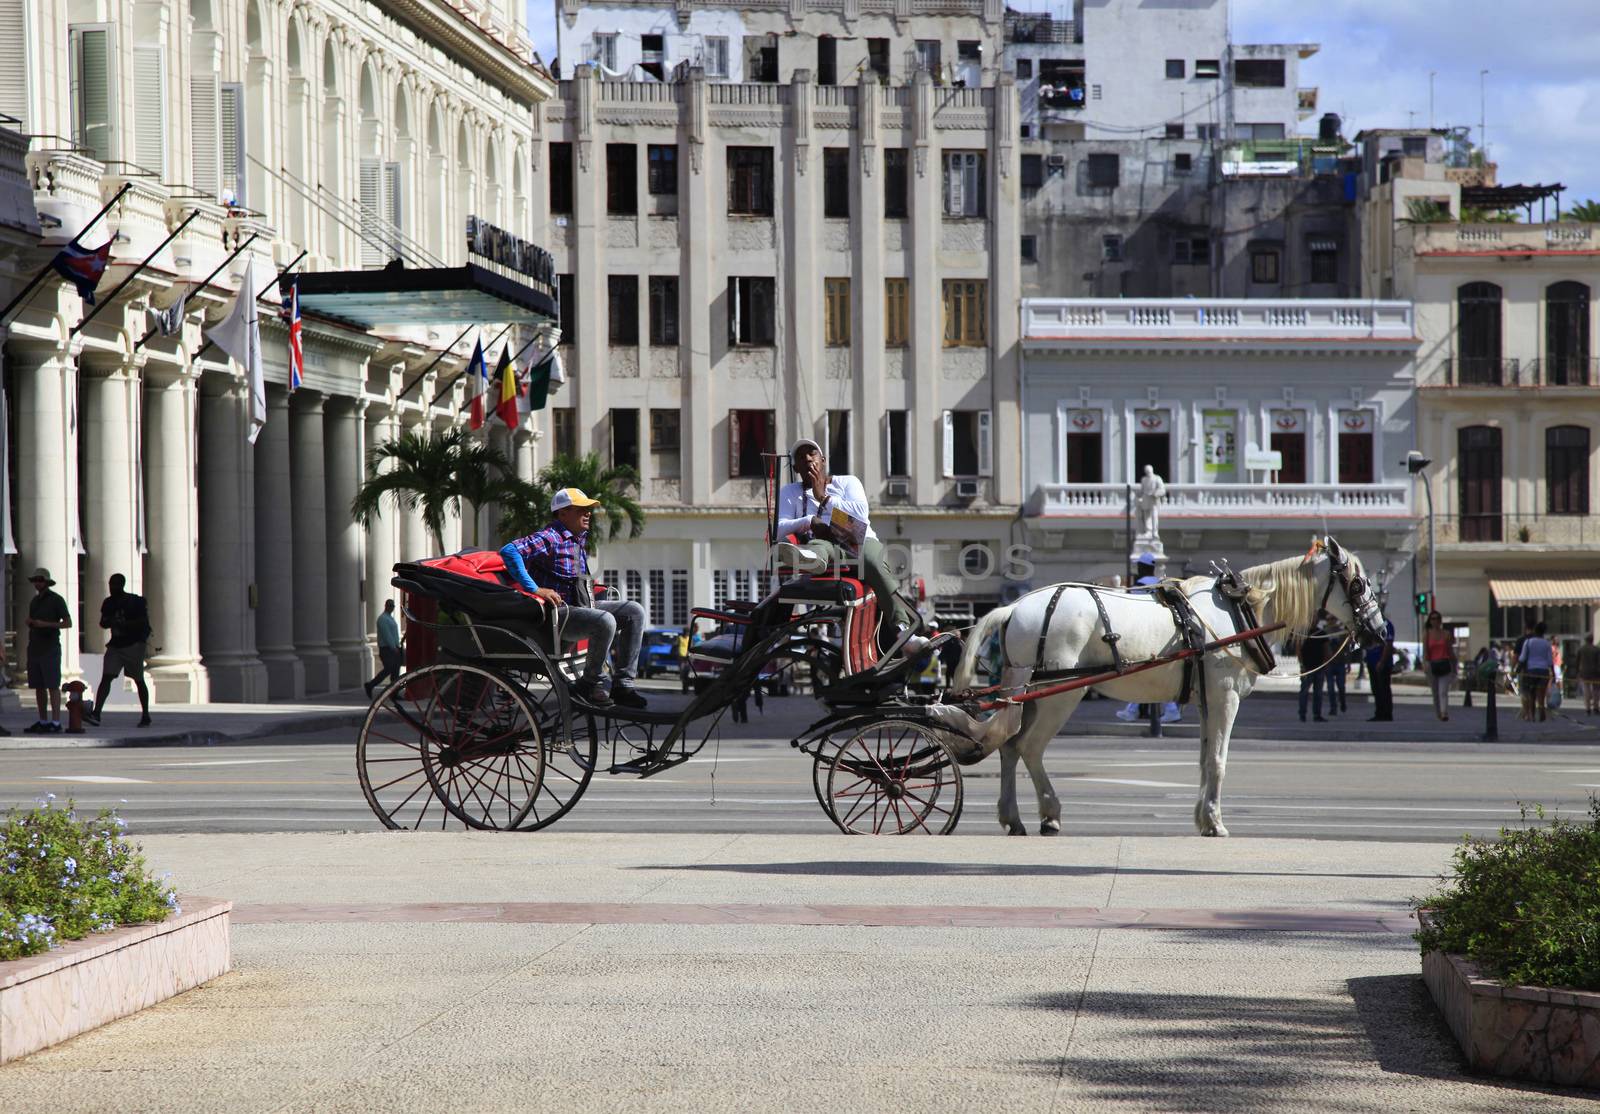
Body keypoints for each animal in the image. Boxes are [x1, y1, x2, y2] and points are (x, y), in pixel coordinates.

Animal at [934, 537, 1382, 832]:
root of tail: (1015, 606)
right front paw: (1215, 821)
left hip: (1023, 692)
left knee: (1010, 747)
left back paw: (1014, 817)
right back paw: (1050, 813)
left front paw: (1202, 817)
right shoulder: (1225, 697)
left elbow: (1204, 760)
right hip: (1062, 695)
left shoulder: (1206, 701)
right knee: (1029, 747)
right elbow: (1219, 760)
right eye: (1358, 584)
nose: (1378, 631)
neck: (1241, 609)